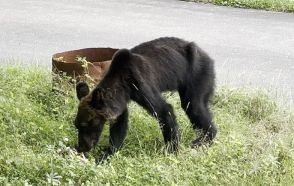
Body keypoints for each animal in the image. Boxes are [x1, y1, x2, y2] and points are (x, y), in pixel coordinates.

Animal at [74, 36, 217, 158]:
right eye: (76, 125)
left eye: (85, 124)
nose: (81, 147)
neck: (123, 83)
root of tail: (206, 54)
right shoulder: (120, 100)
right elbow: (120, 124)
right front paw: (108, 153)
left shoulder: (141, 85)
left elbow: (163, 110)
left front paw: (172, 150)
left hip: (197, 73)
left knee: (194, 106)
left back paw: (202, 140)